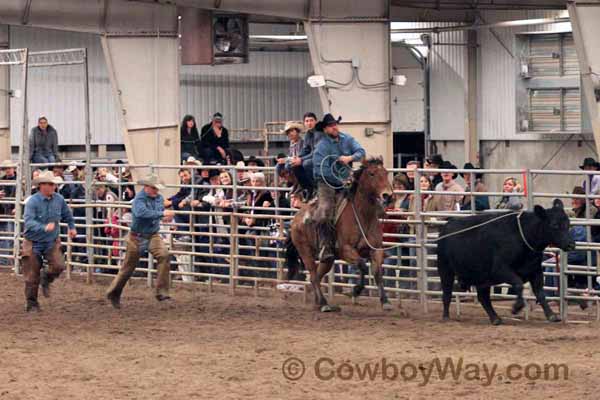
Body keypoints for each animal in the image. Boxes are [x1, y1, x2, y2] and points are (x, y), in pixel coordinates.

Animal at [290, 157, 396, 312]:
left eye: (386, 172)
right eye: (371, 174)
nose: (387, 195)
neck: (363, 216)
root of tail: (297, 217)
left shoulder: (376, 250)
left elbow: (377, 273)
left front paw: (385, 301)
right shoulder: (346, 250)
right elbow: (362, 265)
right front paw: (356, 290)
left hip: (327, 260)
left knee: (317, 275)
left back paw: (319, 302)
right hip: (305, 252)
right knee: (314, 275)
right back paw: (324, 303)